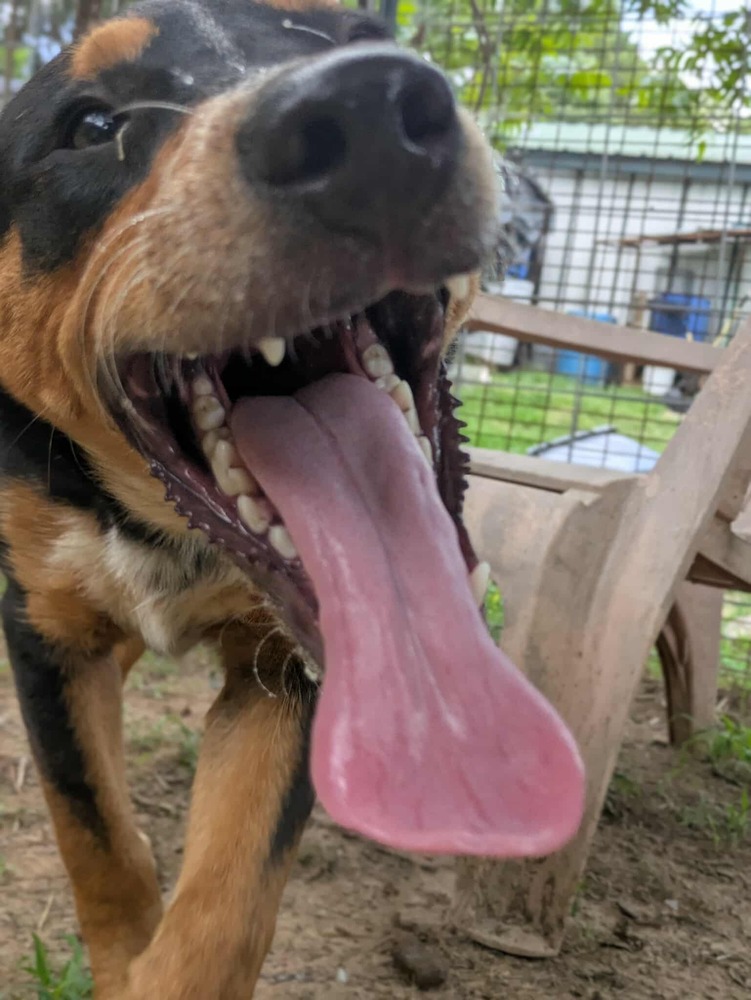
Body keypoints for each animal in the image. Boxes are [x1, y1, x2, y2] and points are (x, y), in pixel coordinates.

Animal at [0, 2, 584, 995]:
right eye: (91, 124)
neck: (155, 527)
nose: (368, 111)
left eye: (360, 37)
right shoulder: (45, 635)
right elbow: (100, 845)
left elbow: (220, 919)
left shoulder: (286, 672)